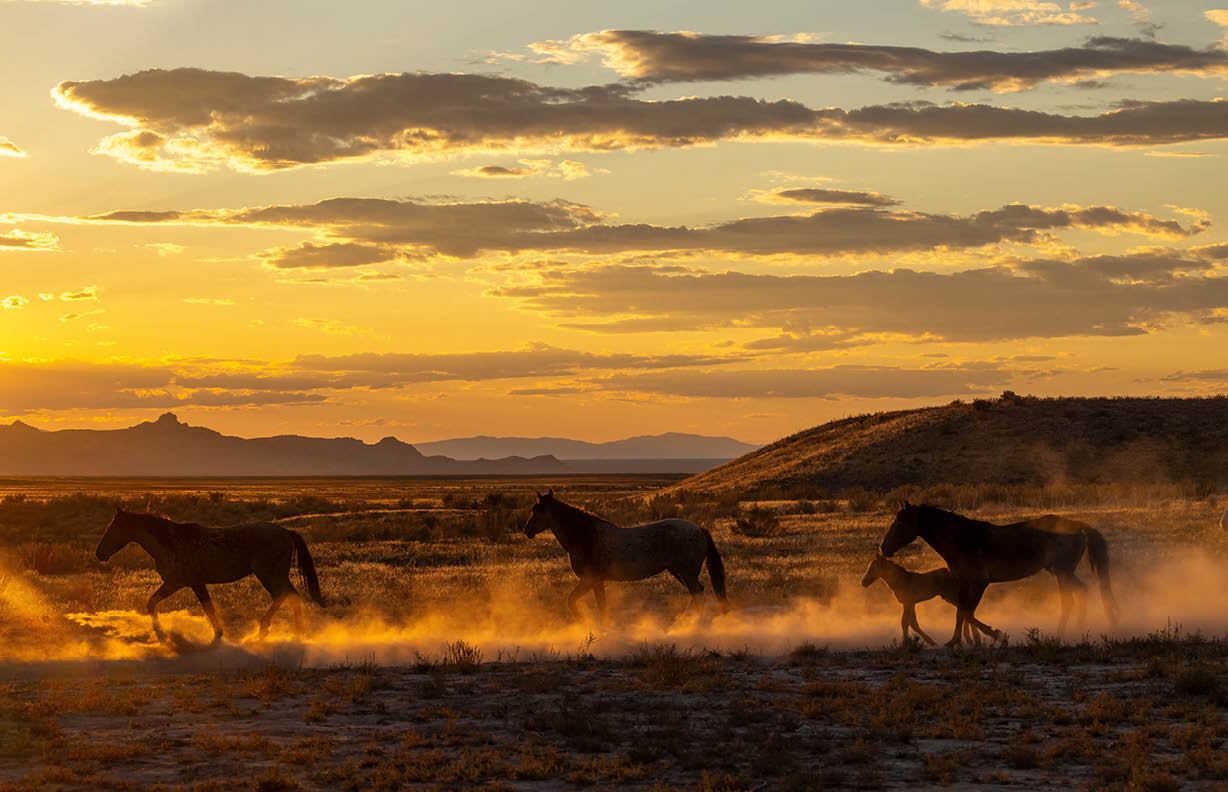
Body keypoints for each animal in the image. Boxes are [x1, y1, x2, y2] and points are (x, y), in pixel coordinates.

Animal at [95, 508, 325, 643]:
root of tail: (285, 532)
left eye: (113, 528)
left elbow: (207, 607)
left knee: (283, 596)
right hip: (276, 575)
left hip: (269, 574)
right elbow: (152, 602)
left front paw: (217, 634)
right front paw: (160, 632)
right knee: (292, 596)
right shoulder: (176, 583)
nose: (100, 553)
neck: (170, 543)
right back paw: (298, 632)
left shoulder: (189, 583)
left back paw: (264, 630)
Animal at [521, 489, 728, 620]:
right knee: (697, 593)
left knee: (698, 595)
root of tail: (699, 529)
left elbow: (572, 602)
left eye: (536, 511)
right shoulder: (597, 582)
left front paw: (583, 621)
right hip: (679, 572)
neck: (586, 536)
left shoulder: (590, 579)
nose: (526, 530)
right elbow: (601, 607)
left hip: (685, 573)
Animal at [860, 553, 994, 647]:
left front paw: (906, 644)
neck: (901, 580)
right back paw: (973, 639)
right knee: (966, 611)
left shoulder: (908, 603)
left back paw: (974, 638)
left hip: (952, 596)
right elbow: (913, 623)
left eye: (872, 568)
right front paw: (929, 642)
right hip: (950, 598)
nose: (863, 582)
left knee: (966, 610)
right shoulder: (910, 604)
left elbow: (905, 623)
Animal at [880, 501, 1118, 647]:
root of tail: (1078, 526)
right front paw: (956, 641)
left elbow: (967, 613)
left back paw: (1067, 633)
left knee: (1074, 596)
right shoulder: (964, 582)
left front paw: (997, 635)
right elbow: (962, 613)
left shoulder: (979, 582)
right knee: (1077, 594)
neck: (964, 539)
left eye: (900, 523)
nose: (883, 548)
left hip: (1063, 572)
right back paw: (1073, 631)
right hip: (1061, 572)